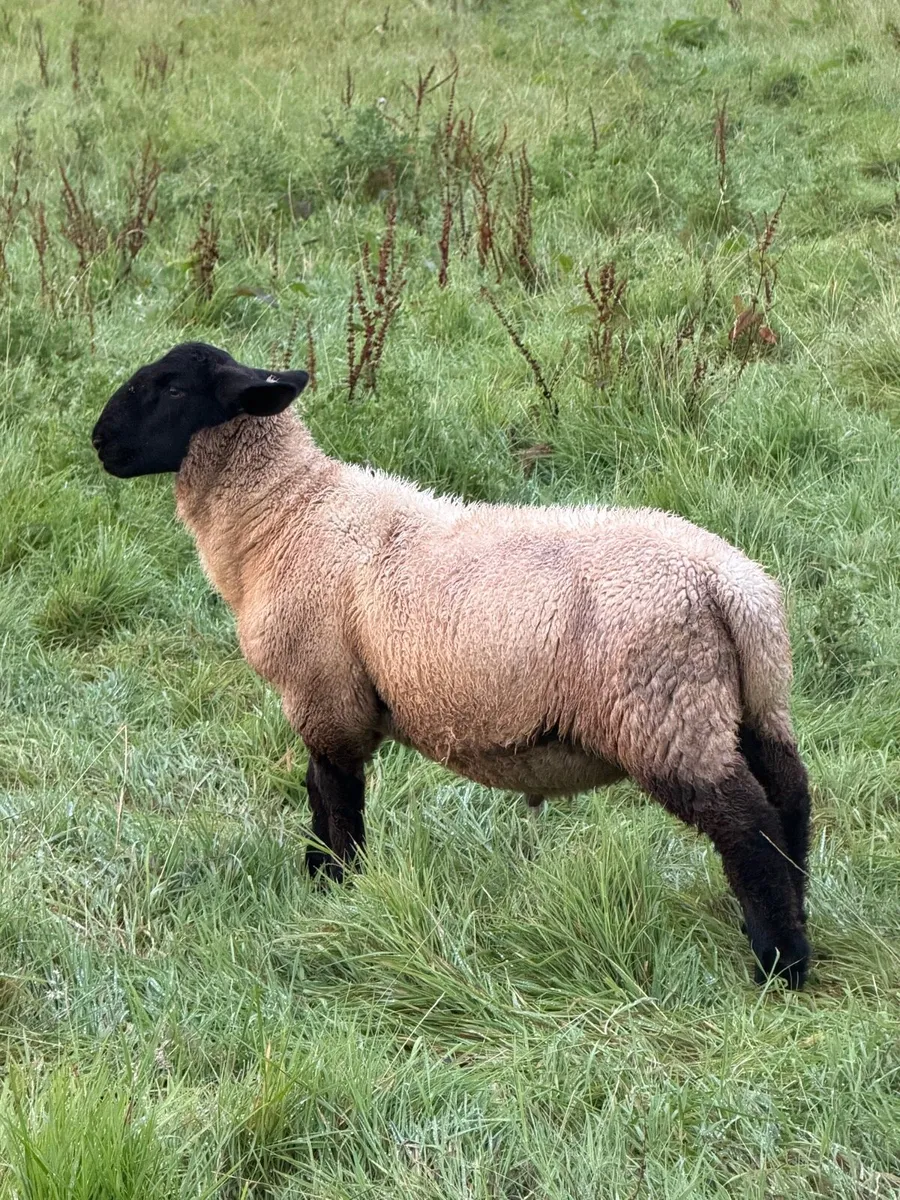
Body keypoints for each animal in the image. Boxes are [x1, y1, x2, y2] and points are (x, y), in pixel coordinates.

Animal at [91, 341, 812, 989]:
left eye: (173, 388)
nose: (99, 441)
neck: (286, 514)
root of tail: (730, 586)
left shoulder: (324, 691)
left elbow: (335, 798)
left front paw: (338, 889)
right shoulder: (326, 697)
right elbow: (318, 790)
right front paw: (320, 878)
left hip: (665, 711)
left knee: (748, 827)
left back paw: (780, 964)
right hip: (751, 701)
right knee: (791, 798)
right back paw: (797, 920)